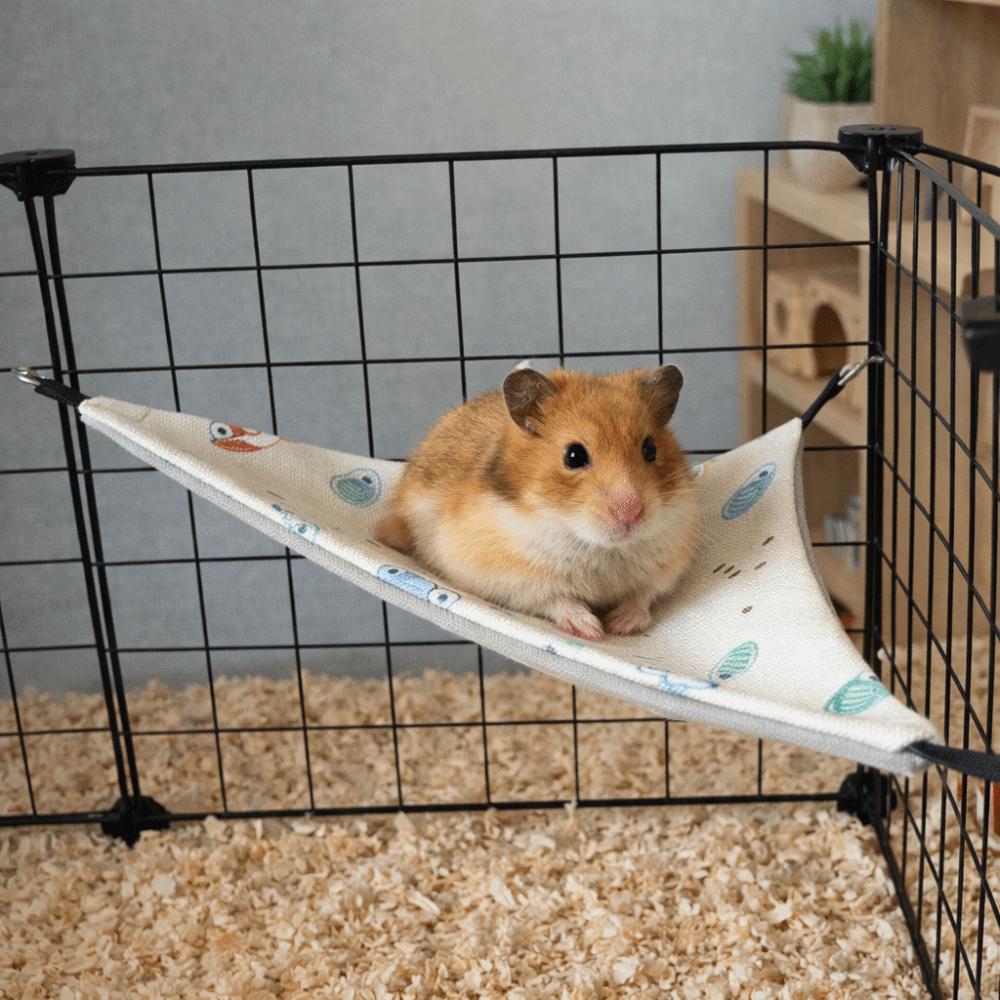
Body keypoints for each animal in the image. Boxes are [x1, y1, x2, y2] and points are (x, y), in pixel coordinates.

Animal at [374, 365, 699, 641]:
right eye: (574, 456)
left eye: (650, 449)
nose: (631, 514)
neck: (597, 546)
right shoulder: (512, 580)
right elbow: (557, 599)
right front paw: (591, 630)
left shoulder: (666, 567)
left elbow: (641, 597)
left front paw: (620, 625)